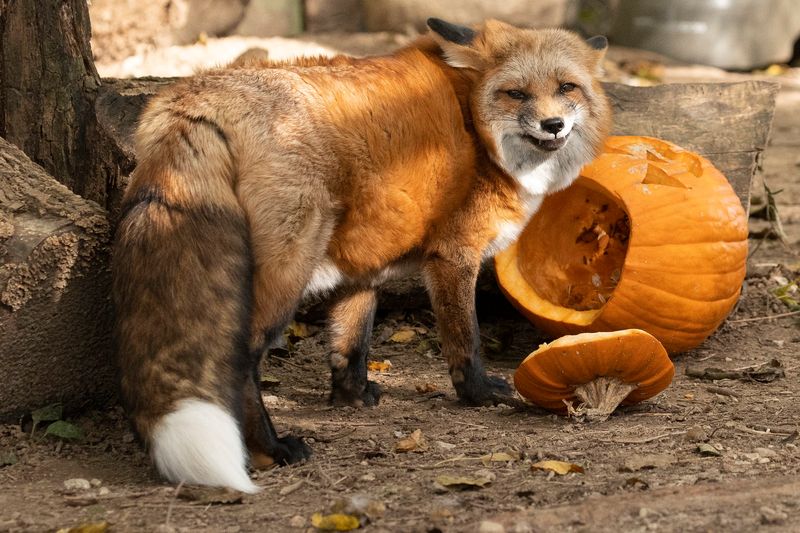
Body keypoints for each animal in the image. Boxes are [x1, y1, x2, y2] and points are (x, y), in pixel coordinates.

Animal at [112, 18, 611, 492]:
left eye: (566, 88)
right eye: (516, 93)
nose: (553, 125)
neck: (476, 129)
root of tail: (195, 95)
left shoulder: (363, 259)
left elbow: (352, 340)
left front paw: (351, 397)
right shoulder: (453, 254)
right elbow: (464, 338)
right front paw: (479, 392)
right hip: (288, 270)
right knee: (241, 360)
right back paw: (271, 449)